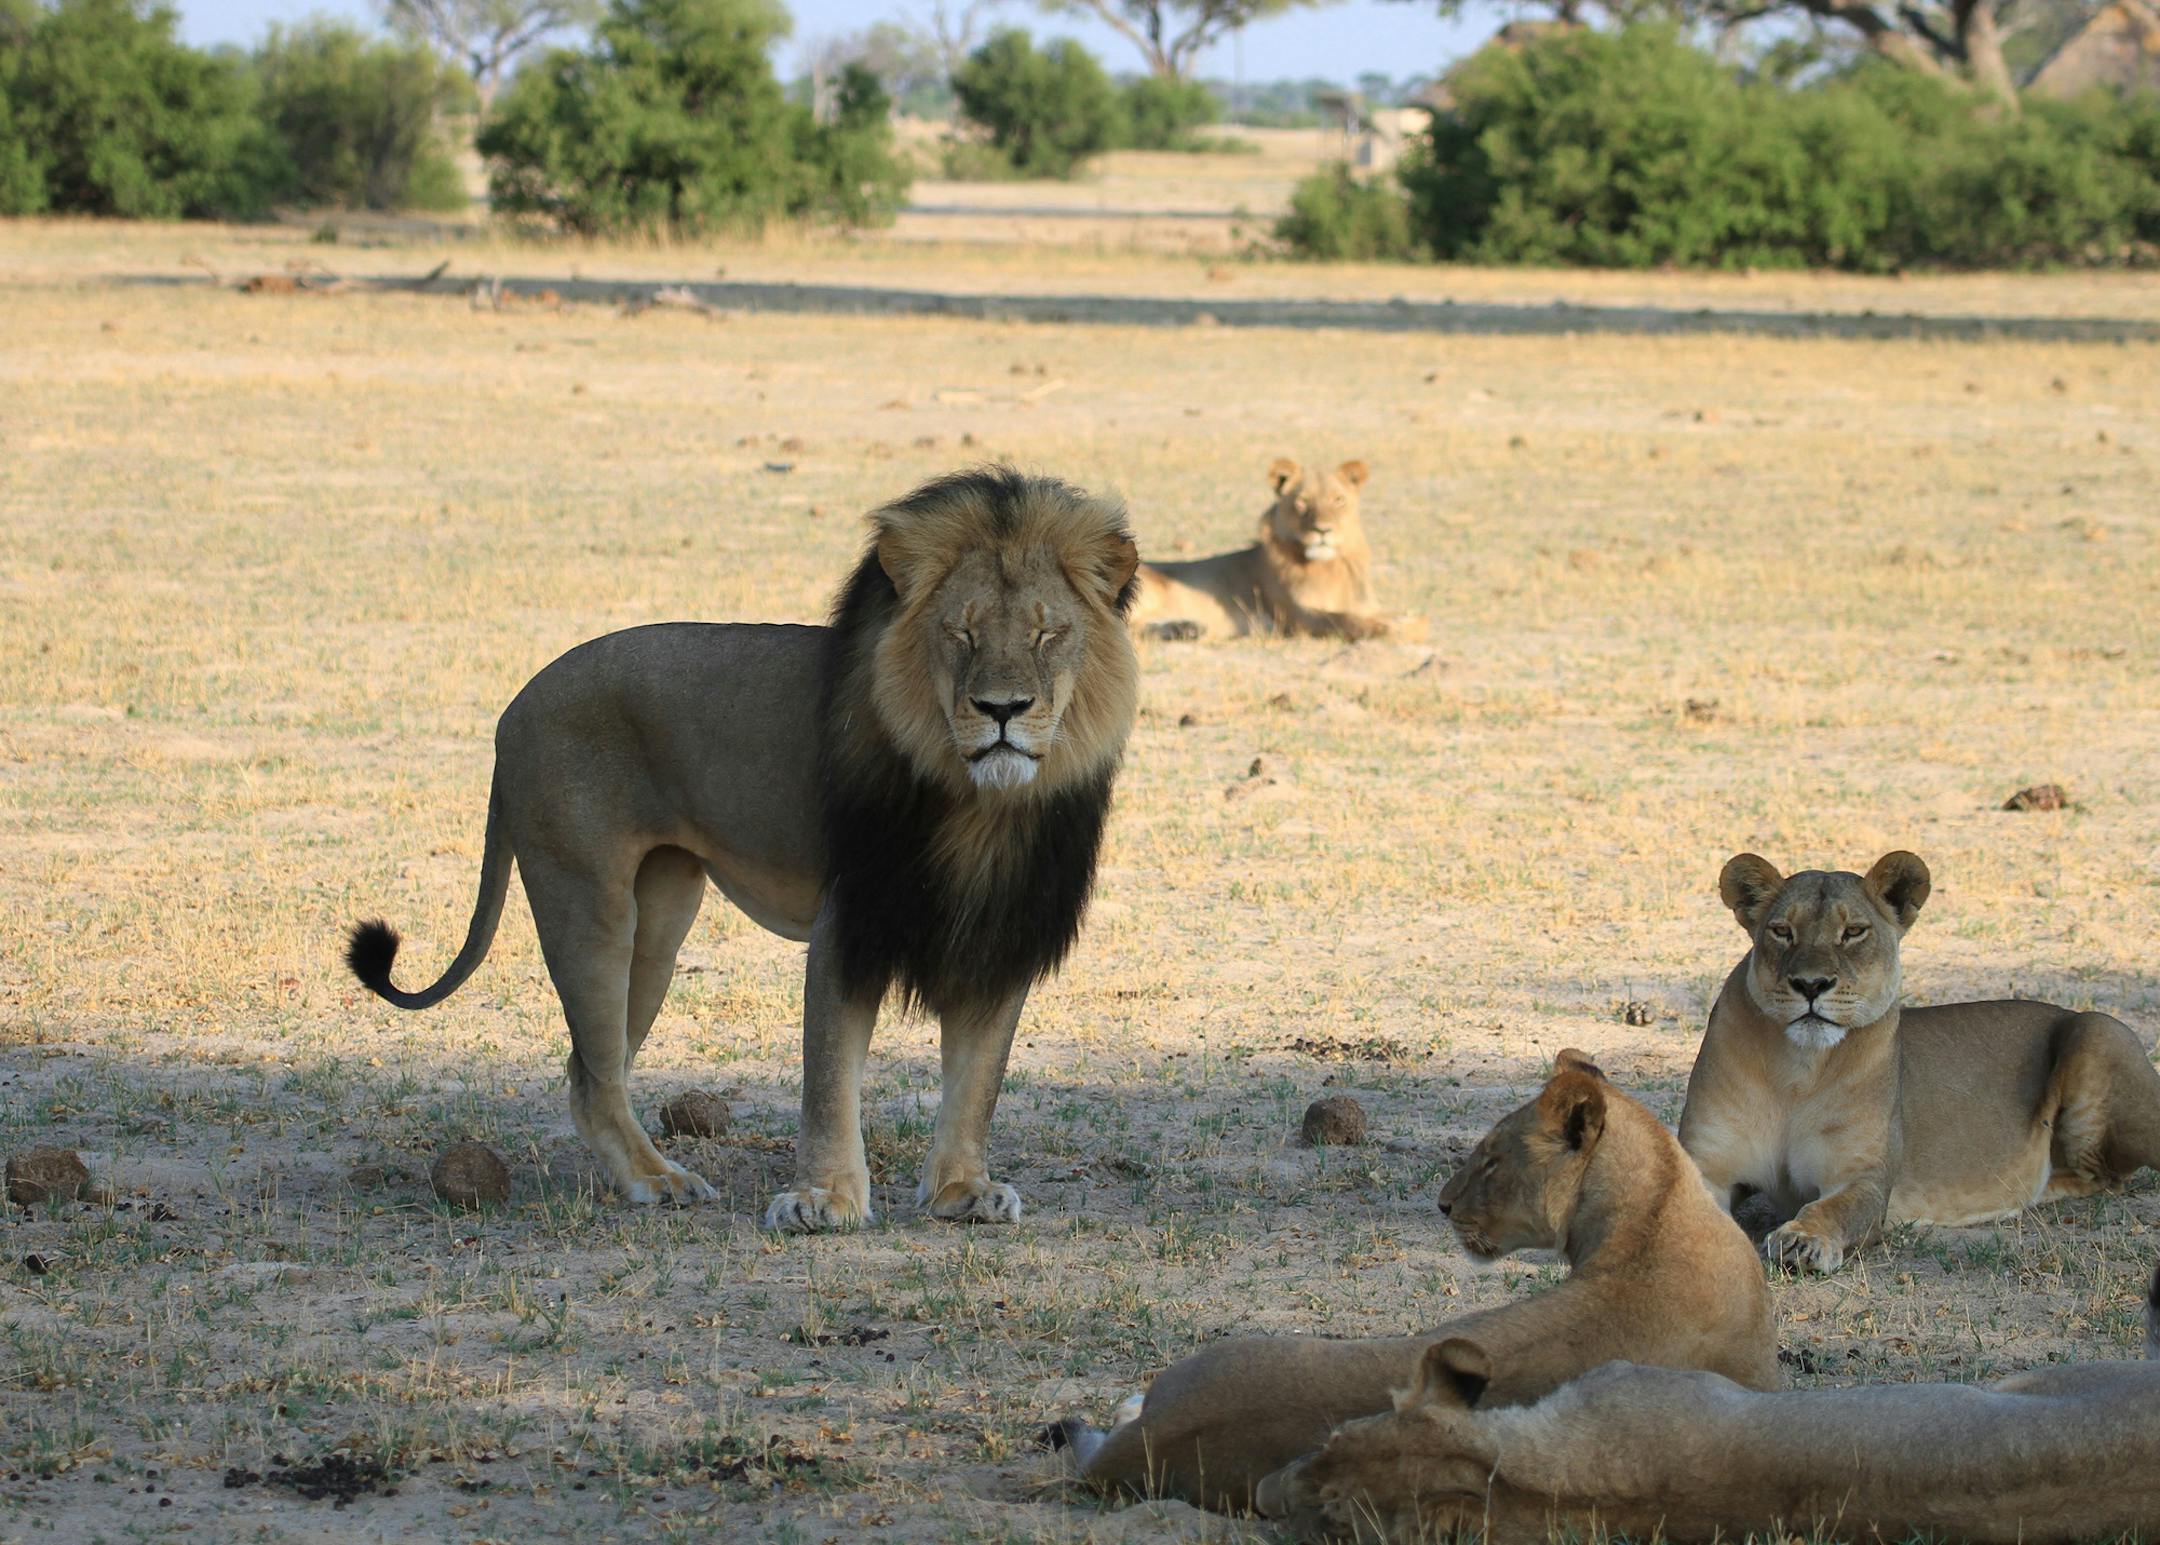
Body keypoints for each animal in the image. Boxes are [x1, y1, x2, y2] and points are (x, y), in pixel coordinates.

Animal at [345, 469, 1141, 1231]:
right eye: (961, 633)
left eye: (1047, 634)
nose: (1002, 709)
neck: (979, 802)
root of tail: (511, 709)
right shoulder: (848, 920)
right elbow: (830, 1077)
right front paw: (824, 1200)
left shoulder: (1003, 925)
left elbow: (977, 1080)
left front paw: (962, 1191)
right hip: (589, 904)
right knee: (594, 1074)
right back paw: (658, 1180)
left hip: (661, 922)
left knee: (591, 1066)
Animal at [1125, 457, 1422, 642]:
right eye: (1302, 502)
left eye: (1338, 500)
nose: (1323, 531)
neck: (1330, 567)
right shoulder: (1295, 616)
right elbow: (1343, 620)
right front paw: (1388, 629)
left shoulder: (1365, 604)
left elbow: (1417, 619)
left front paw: (1406, 624)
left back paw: (1187, 628)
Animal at [1677, 851, 2160, 1274]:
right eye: (1781, 931)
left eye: (1853, 931)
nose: (1811, 985)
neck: (1797, 1070)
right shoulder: (1707, 1162)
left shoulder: (1865, 1177)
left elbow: (1834, 1209)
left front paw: (1802, 1241)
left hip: (2097, 1028)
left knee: (2107, 1176)